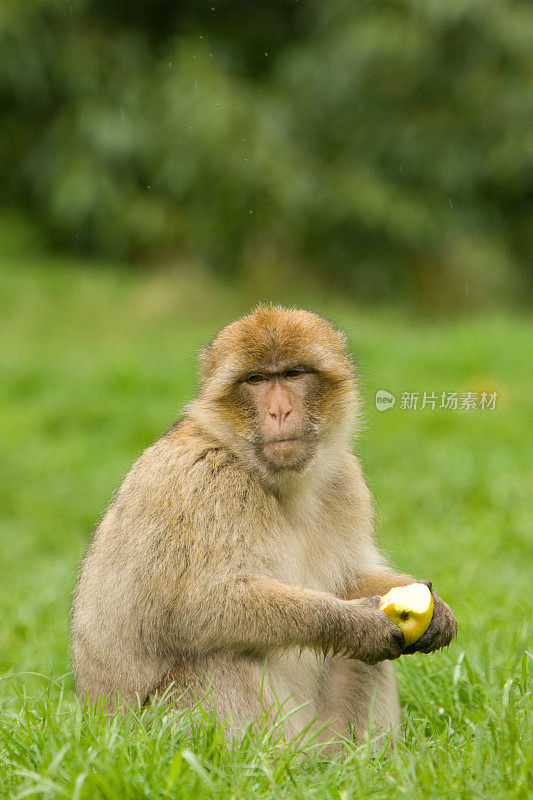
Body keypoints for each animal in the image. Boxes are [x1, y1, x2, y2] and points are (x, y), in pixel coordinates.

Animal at [68, 304, 456, 744]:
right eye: (256, 380)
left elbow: (349, 579)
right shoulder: (209, 482)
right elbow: (200, 605)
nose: (280, 411)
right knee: (215, 656)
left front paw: (435, 606)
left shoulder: (346, 479)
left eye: (292, 374)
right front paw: (355, 623)